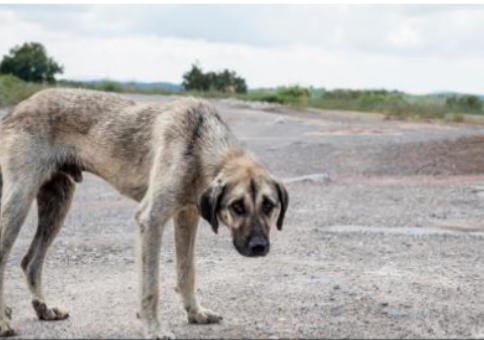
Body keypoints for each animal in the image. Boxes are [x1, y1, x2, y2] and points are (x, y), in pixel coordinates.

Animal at [0, 89, 288, 338]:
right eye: (237, 206)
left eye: (269, 205)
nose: (259, 247)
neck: (199, 143)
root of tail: (17, 108)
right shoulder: (151, 220)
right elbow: (151, 287)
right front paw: (154, 329)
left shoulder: (187, 217)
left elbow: (187, 273)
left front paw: (195, 313)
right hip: (19, 200)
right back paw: (4, 322)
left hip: (58, 203)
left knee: (30, 261)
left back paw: (43, 308)